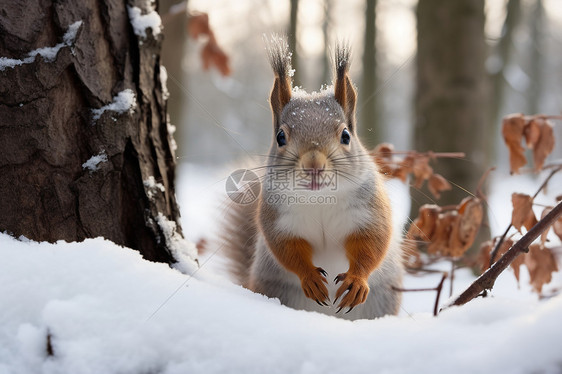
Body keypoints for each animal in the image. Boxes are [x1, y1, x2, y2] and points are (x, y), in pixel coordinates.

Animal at [221, 36, 400, 320]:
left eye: (346, 135)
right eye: (280, 137)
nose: (313, 165)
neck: (319, 199)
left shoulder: (369, 211)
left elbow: (372, 242)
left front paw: (357, 281)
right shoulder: (279, 219)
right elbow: (287, 249)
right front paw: (311, 279)